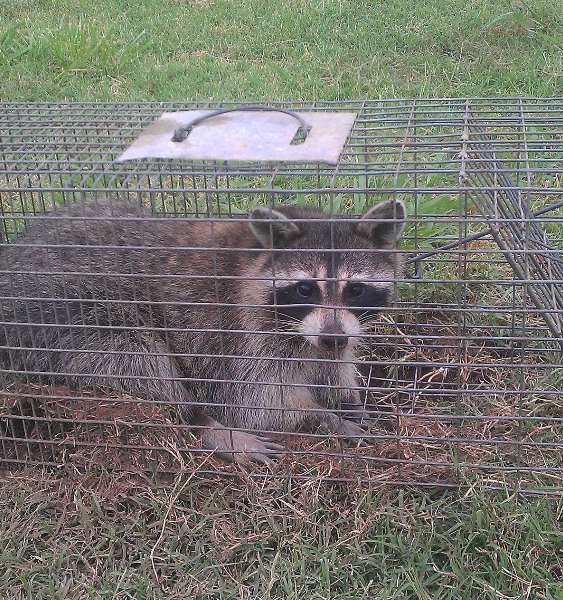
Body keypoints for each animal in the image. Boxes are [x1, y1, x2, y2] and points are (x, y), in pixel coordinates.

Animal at [0, 199, 406, 462]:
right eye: (306, 289)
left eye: (355, 290)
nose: (332, 337)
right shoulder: (238, 337)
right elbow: (258, 406)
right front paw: (324, 419)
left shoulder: (330, 337)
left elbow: (332, 369)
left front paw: (348, 401)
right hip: (71, 318)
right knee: (140, 364)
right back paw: (203, 424)